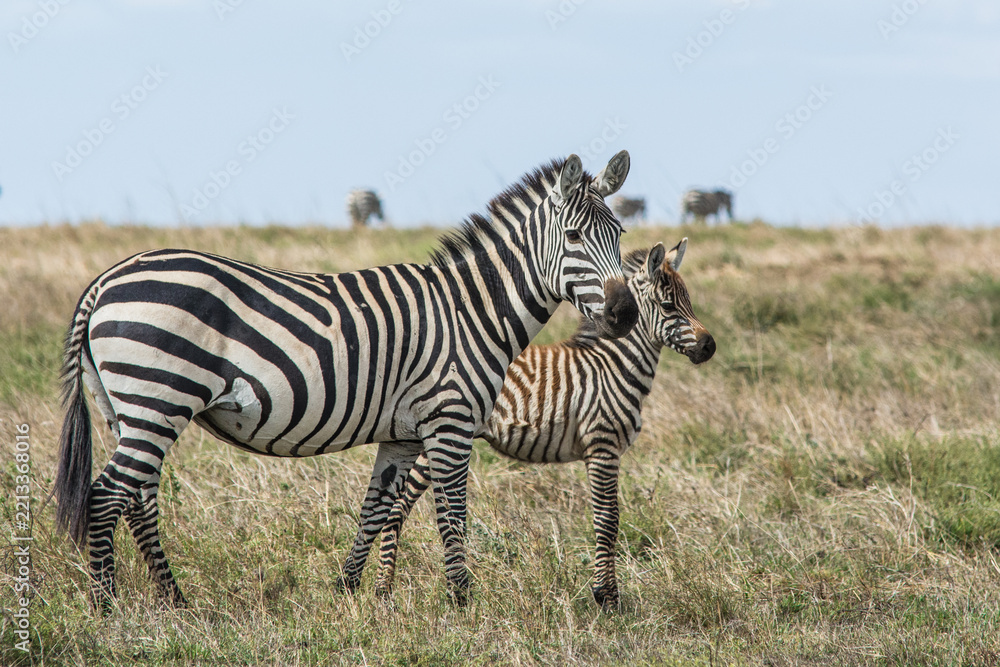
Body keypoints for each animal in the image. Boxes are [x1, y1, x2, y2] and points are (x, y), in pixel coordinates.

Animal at [54, 151, 640, 610]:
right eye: (573, 236)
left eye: (619, 234)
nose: (624, 313)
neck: (470, 311)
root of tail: (105, 280)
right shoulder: (450, 422)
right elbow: (452, 515)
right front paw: (463, 603)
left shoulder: (402, 434)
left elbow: (375, 510)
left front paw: (348, 590)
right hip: (158, 397)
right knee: (106, 496)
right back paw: (106, 608)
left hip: (127, 409)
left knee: (138, 497)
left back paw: (174, 600)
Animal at [339, 238, 715, 609]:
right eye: (668, 306)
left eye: (689, 301)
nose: (709, 347)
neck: (612, 366)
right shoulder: (602, 446)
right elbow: (608, 521)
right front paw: (607, 598)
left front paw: (606, 594)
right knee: (398, 507)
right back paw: (383, 589)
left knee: (396, 507)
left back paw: (383, 589)